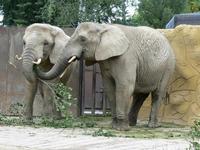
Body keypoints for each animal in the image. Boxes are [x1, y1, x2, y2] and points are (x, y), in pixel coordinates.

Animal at [34, 22, 175, 130]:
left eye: (82, 39)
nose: (37, 61)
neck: (103, 27)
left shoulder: (127, 57)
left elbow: (124, 86)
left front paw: (121, 129)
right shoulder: (105, 60)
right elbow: (109, 88)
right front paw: (114, 126)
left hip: (168, 66)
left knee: (158, 93)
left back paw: (152, 126)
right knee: (140, 95)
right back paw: (132, 124)